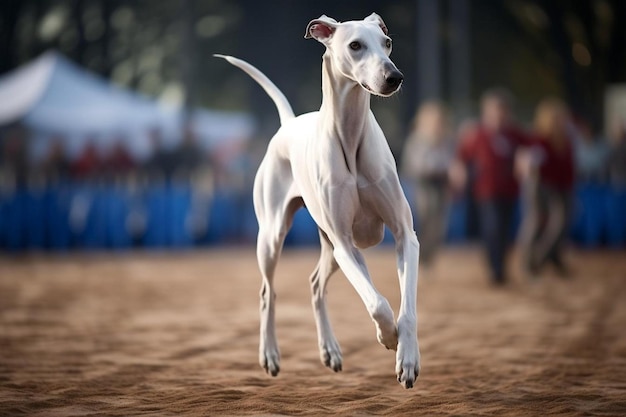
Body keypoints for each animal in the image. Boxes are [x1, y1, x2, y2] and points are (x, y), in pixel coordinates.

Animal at [214, 13, 420, 388]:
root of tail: (288, 123)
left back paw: (330, 350)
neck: (350, 135)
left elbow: (405, 308)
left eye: (387, 43)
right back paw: (270, 355)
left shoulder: (403, 236)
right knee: (268, 293)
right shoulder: (346, 244)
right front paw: (388, 336)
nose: (394, 77)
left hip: (330, 248)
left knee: (314, 285)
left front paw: (407, 358)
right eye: (355, 45)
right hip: (273, 238)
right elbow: (377, 303)